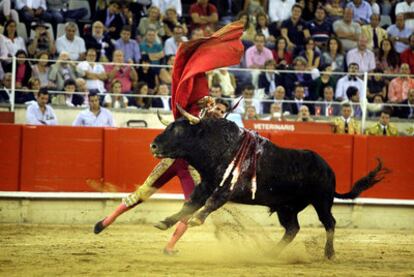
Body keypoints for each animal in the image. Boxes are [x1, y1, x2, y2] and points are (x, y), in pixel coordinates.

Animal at [150, 117, 388, 258]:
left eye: (178, 130)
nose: (153, 145)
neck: (219, 147)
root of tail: (327, 168)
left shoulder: (227, 189)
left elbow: (209, 203)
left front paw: (196, 220)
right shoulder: (205, 185)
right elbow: (189, 205)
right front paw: (165, 222)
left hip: (321, 201)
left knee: (329, 223)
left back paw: (329, 253)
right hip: (286, 208)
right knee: (292, 229)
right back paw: (271, 252)